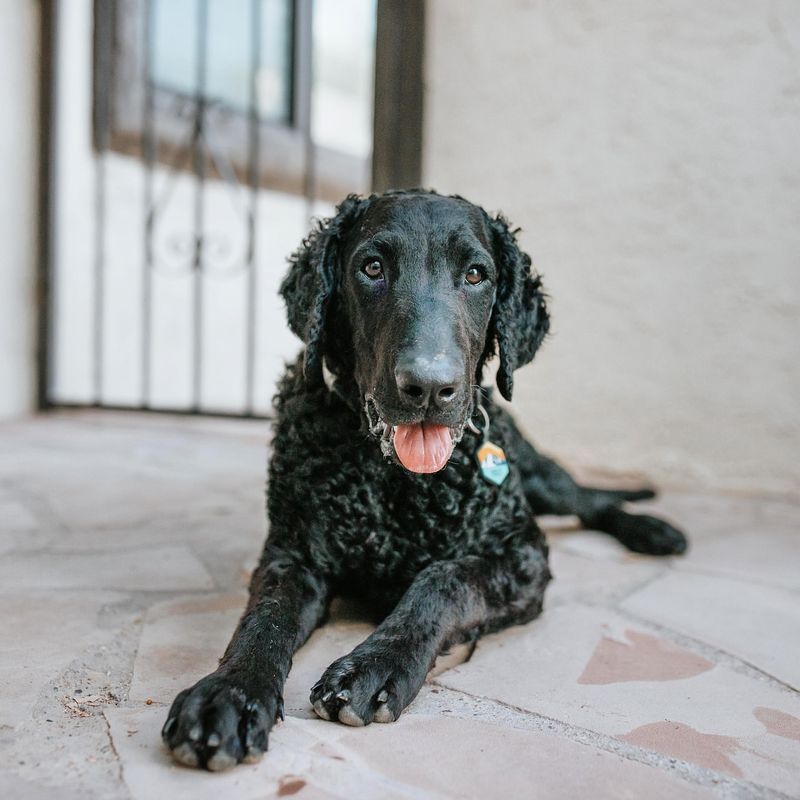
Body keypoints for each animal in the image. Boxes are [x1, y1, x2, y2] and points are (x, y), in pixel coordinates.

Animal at [162, 188, 688, 768]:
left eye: (477, 274)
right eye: (371, 267)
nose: (430, 387)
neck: (395, 484)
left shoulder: (523, 554)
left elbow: (442, 580)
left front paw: (375, 665)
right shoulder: (292, 554)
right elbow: (263, 620)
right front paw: (228, 694)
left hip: (536, 477)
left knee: (590, 501)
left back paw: (654, 530)